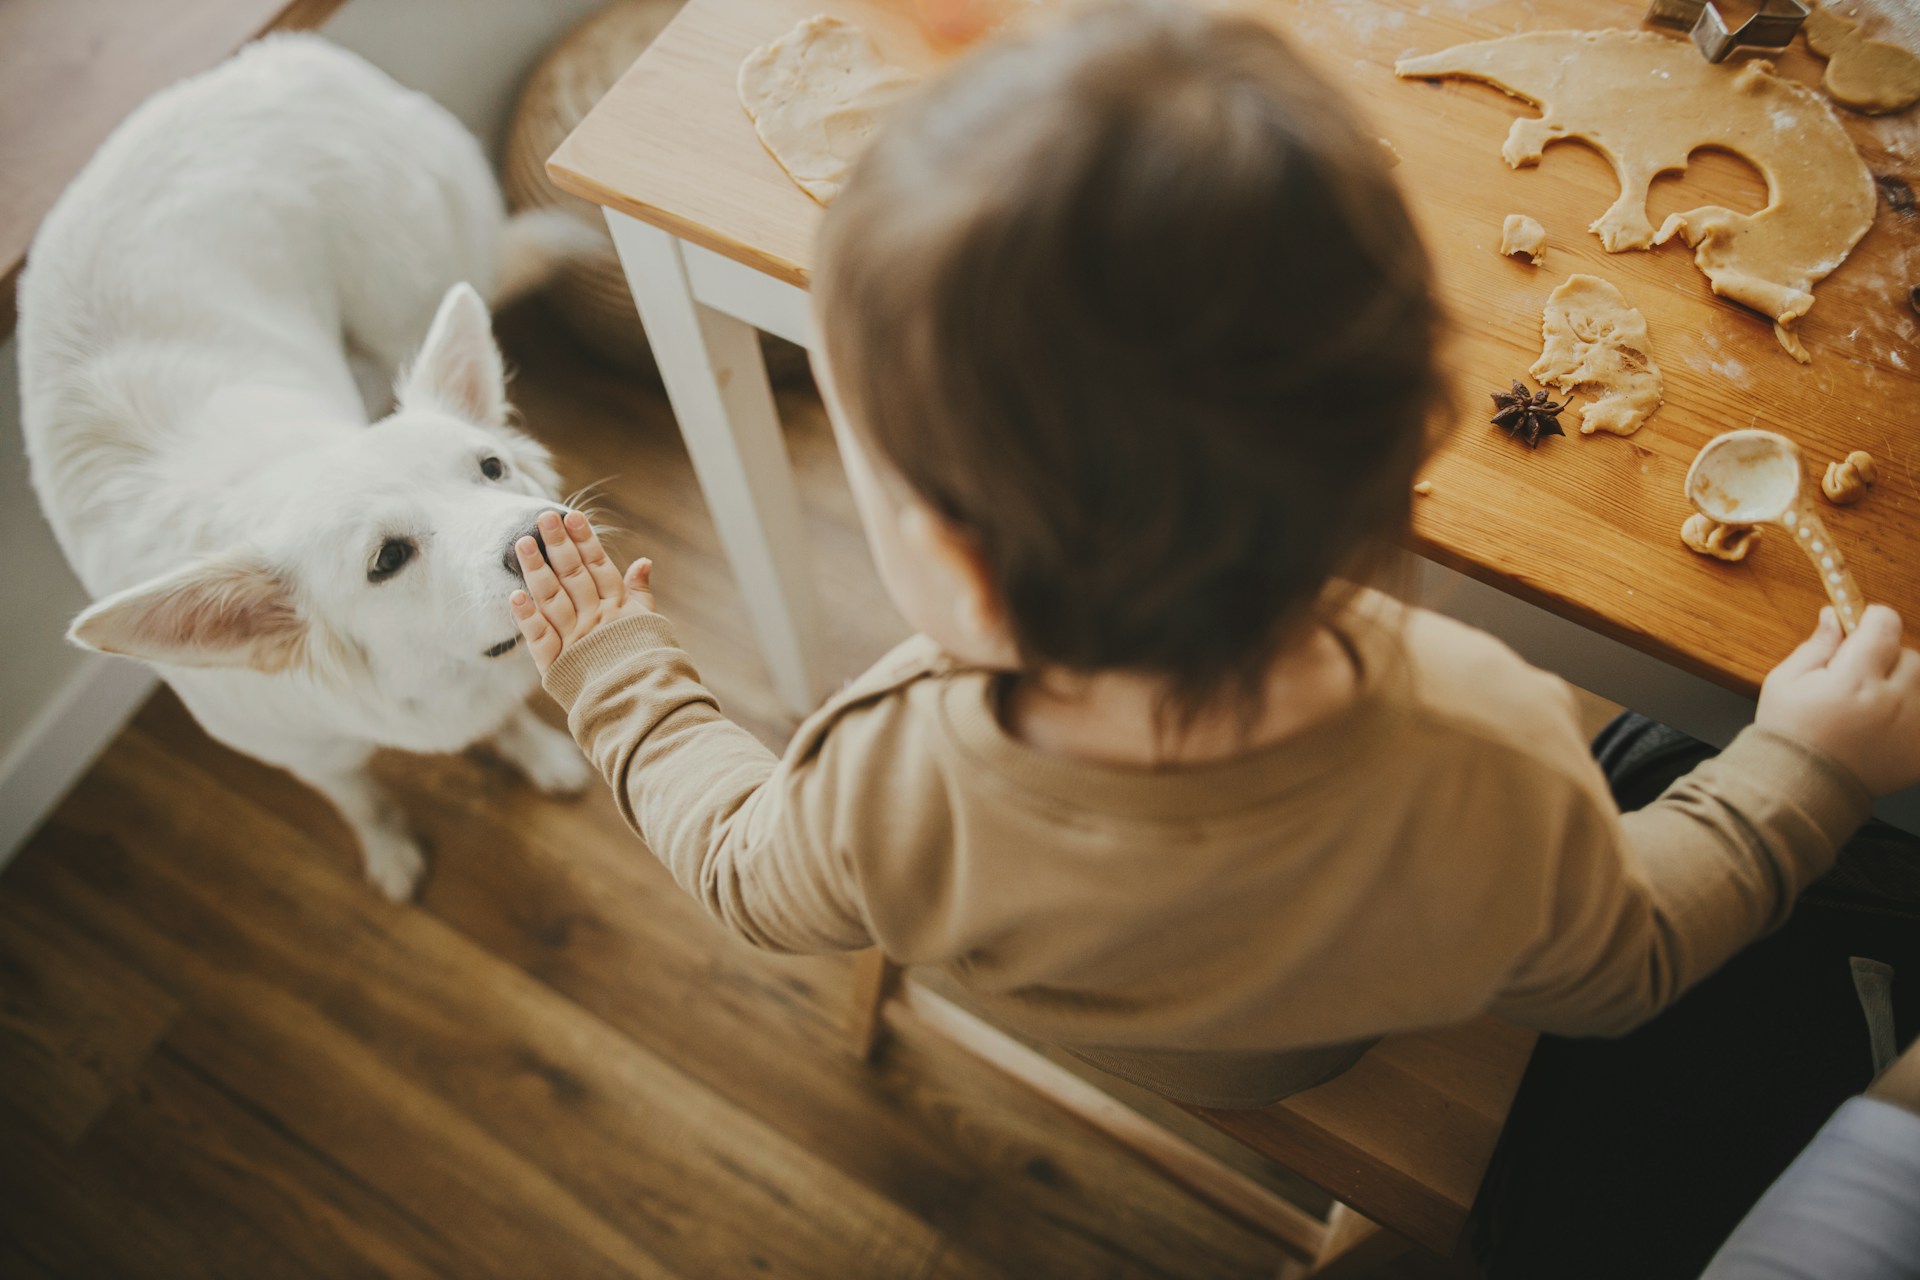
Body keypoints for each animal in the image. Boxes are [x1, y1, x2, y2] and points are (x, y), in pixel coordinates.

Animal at [16, 32, 591, 901]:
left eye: (490, 469)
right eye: (387, 559)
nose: (547, 535)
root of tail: (287, 51)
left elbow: (503, 717)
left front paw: (537, 752)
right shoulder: (308, 756)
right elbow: (356, 795)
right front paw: (388, 850)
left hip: (403, 303)